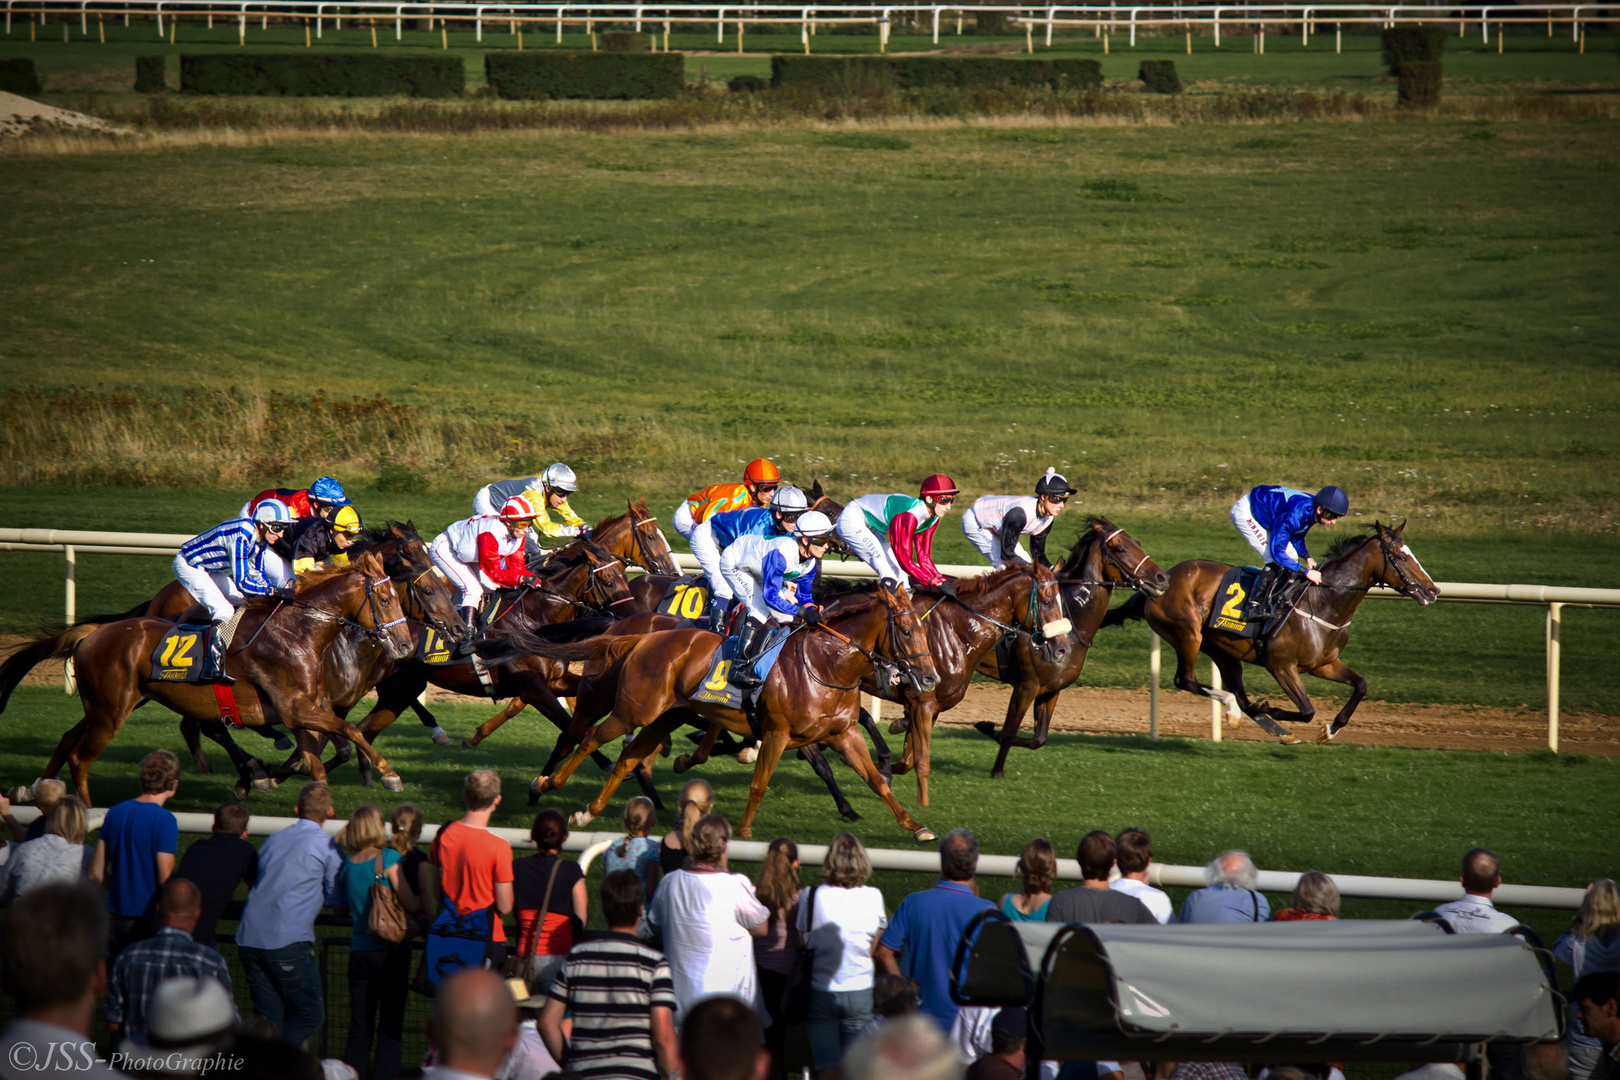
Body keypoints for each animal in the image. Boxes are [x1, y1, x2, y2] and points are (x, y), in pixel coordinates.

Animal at [0, 553, 414, 806]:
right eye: (386, 599)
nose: (406, 644)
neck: (300, 632)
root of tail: (93, 633)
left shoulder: (304, 713)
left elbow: (320, 760)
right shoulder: (297, 709)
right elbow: (352, 730)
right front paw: (390, 775)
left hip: (109, 705)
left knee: (68, 738)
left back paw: (33, 790)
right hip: (110, 712)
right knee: (79, 757)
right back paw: (84, 815)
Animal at [524, 582, 946, 841]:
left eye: (925, 629)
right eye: (905, 632)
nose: (929, 677)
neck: (824, 665)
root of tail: (641, 638)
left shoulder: (843, 734)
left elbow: (875, 780)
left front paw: (915, 825)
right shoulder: (777, 733)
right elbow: (759, 783)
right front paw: (743, 831)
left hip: (665, 716)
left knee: (629, 757)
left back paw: (589, 811)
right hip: (633, 711)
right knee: (589, 737)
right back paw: (546, 784)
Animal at [965, 521, 1172, 780]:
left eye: (1138, 542)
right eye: (1121, 548)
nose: (1162, 578)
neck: (1070, 623)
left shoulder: (1052, 689)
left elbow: (1038, 739)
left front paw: (988, 729)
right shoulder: (1026, 685)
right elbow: (1009, 731)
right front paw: (997, 770)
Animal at [1101, 521, 1445, 744]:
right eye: (1400, 557)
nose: (1432, 590)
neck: (1322, 602)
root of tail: (1163, 578)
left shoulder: (1323, 664)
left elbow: (1361, 685)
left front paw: (1330, 730)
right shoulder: (1281, 666)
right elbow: (1306, 710)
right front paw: (1271, 708)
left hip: (1222, 650)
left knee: (1237, 691)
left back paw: (1262, 722)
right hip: (1188, 635)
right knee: (1185, 680)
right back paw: (1248, 713)